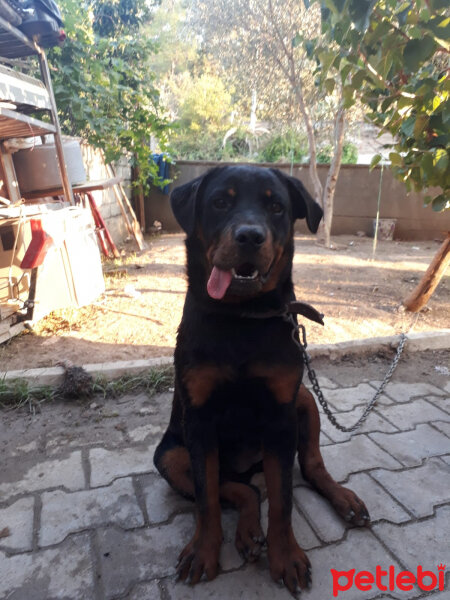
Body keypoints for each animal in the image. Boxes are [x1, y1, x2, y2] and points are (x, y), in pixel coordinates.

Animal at [154, 166, 370, 592]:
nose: (250, 236)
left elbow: (283, 500)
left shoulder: (281, 415)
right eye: (220, 201)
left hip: (303, 400)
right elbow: (207, 498)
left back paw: (343, 500)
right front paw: (204, 550)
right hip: (170, 455)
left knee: (307, 468)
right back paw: (248, 531)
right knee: (241, 489)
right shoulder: (198, 420)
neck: (243, 317)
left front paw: (285, 556)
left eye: (276, 207)